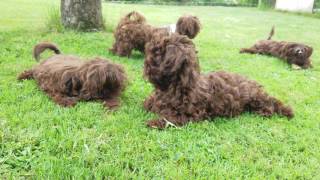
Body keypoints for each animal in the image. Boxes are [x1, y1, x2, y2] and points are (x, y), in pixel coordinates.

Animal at [144, 33, 294, 129]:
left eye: (157, 53)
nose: (145, 66)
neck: (175, 85)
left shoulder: (192, 114)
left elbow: (172, 119)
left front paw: (155, 123)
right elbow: (149, 102)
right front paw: (149, 104)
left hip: (255, 97)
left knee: (270, 102)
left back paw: (270, 111)